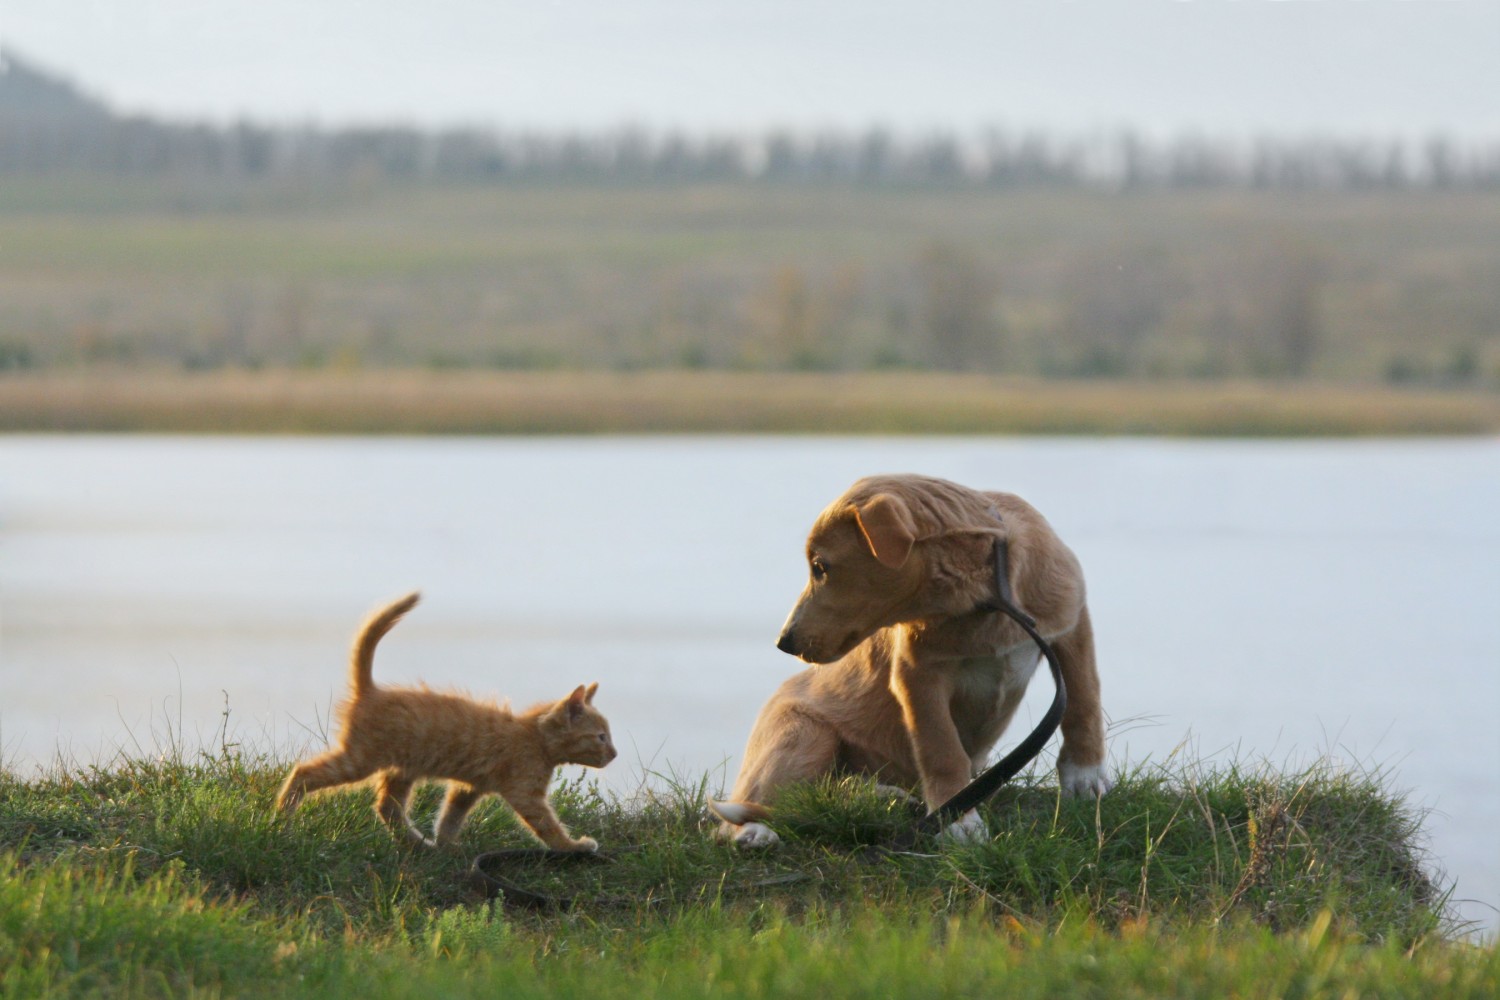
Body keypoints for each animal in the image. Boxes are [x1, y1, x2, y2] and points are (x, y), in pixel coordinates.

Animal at [279, 593, 612, 851]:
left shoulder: (467, 787)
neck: (535, 738)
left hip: (403, 767)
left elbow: (451, 815)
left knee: (388, 807)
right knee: (304, 772)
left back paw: (416, 843)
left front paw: (446, 843)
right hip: (361, 758)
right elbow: (547, 826)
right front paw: (573, 847)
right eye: (601, 737)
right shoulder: (525, 791)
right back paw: (283, 819)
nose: (614, 754)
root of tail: (371, 690)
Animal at [708, 473, 1110, 851]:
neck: (984, 598)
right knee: (745, 811)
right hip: (803, 734)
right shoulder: (917, 675)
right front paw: (958, 821)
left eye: (820, 567)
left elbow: (1083, 699)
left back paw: (889, 797)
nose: (783, 642)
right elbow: (941, 749)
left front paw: (1085, 777)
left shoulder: (1072, 627)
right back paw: (755, 833)